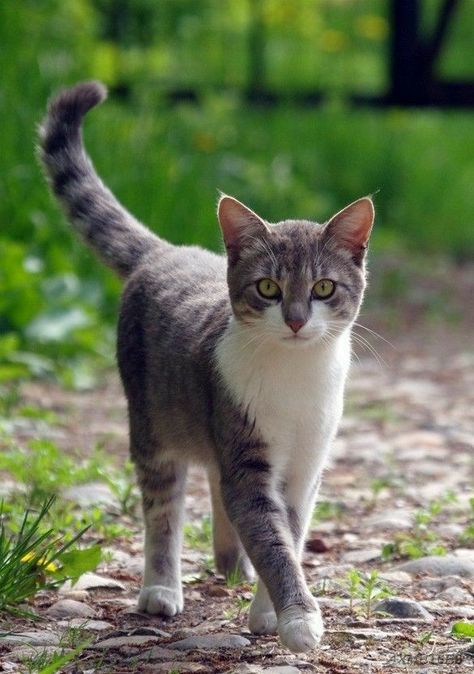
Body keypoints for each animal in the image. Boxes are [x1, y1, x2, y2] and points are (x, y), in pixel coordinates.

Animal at [39, 80, 374, 652]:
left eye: (325, 287)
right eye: (269, 287)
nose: (295, 320)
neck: (294, 379)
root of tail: (164, 251)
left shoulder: (307, 464)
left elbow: (289, 532)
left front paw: (267, 612)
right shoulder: (245, 449)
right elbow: (270, 536)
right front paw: (299, 618)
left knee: (217, 489)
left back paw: (230, 563)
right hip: (152, 424)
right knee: (163, 508)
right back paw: (160, 588)